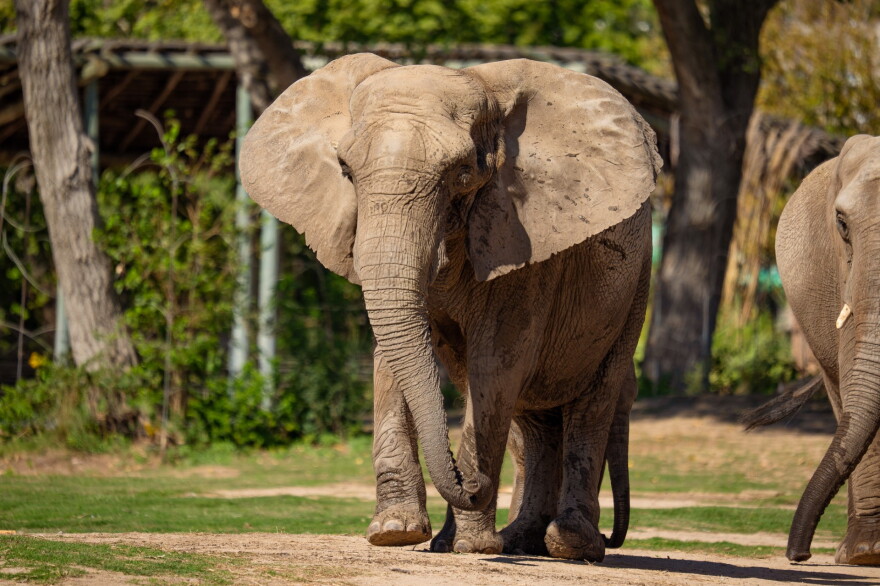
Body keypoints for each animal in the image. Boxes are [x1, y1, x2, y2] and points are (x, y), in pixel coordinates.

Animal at [240, 53, 661, 561]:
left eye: (462, 173)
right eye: (345, 169)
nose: (472, 482)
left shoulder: (524, 243)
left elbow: (496, 363)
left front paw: (472, 544)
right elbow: (392, 357)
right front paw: (395, 532)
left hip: (636, 282)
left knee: (592, 397)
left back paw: (570, 545)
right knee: (528, 417)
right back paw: (515, 539)